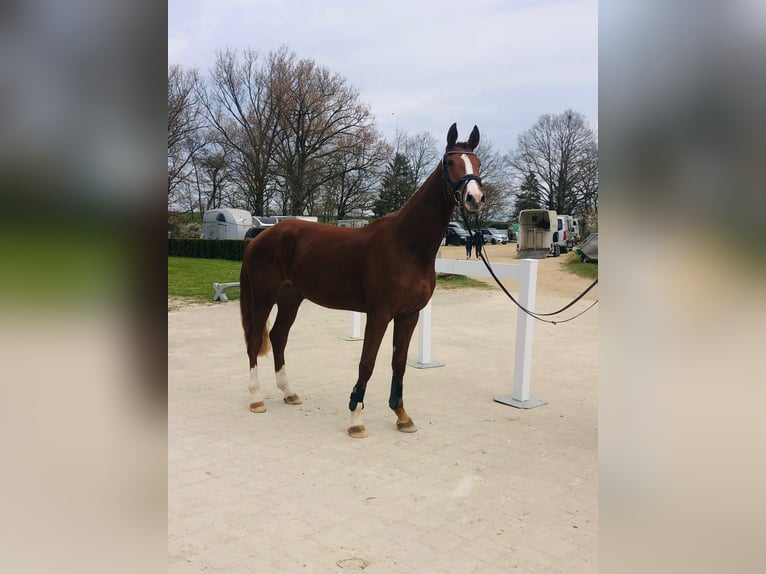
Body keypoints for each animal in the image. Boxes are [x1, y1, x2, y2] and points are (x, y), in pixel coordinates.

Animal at [239, 123, 484, 438]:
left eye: (478, 163)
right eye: (451, 163)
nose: (474, 198)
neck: (406, 245)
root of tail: (260, 238)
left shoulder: (409, 315)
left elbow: (399, 363)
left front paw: (402, 415)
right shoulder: (379, 314)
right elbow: (367, 362)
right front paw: (356, 418)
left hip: (291, 298)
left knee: (278, 337)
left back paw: (289, 392)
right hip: (264, 297)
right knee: (255, 340)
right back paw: (257, 398)